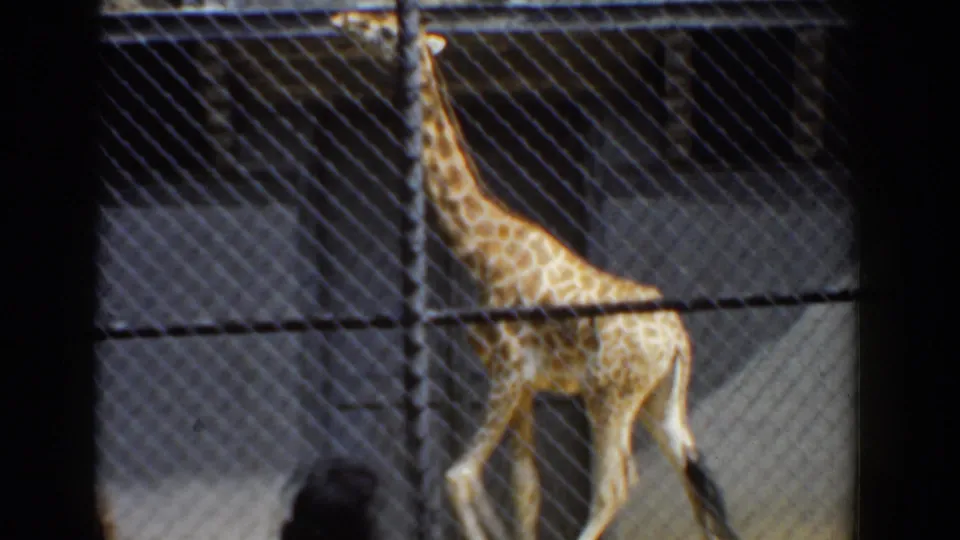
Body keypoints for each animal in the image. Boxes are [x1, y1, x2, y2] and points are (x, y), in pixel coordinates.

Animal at [329, 11, 740, 540]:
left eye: (384, 27)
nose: (343, 18)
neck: (482, 250)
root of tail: (675, 338)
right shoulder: (524, 384)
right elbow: (525, 492)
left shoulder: (507, 369)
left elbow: (459, 475)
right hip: (659, 400)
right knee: (695, 482)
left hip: (610, 393)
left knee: (616, 484)